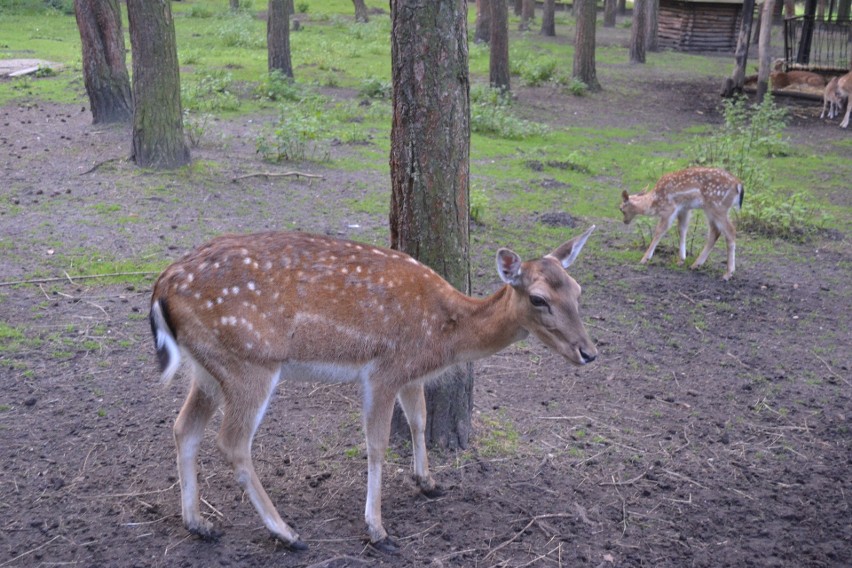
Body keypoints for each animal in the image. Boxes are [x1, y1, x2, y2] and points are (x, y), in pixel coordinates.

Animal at [148, 225, 600, 552]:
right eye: (538, 299)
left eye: (578, 290)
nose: (589, 352)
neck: (443, 336)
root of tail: (161, 287)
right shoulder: (384, 369)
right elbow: (377, 443)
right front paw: (378, 530)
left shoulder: (409, 374)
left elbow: (418, 420)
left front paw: (428, 482)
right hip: (249, 362)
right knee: (232, 442)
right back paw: (288, 534)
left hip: (208, 368)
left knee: (183, 427)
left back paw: (200, 524)